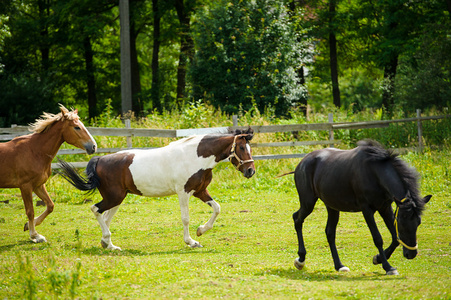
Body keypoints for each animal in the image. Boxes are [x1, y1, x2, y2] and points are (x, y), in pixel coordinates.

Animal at [0, 104, 96, 243]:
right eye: (77, 127)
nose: (94, 146)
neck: (35, 151)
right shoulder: (25, 186)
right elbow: (30, 211)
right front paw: (35, 235)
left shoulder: (38, 185)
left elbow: (50, 205)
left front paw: (27, 226)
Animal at [57, 127, 254, 250]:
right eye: (241, 147)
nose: (251, 171)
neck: (195, 157)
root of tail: (99, 160)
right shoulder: (183, 193)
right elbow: (185, 218)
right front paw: (191, 242)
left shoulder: (199, 191)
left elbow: (217, 208)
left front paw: (201, 231)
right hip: (114, 197)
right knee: (95, 209)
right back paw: (107, 241)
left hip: (117, 198)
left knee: (105, 217)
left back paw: (109, 245)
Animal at [288, 139, 432, 276]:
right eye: (401, 223)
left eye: (418, 223)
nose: (411, 254)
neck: (375, 172)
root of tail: (302, 162)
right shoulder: (367, 210)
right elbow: (378, 238)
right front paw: (388, 267)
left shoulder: (385, 207)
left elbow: (395, 237)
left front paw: (378, 259)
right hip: (308, 203)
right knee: (297, 219)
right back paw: (300, 260)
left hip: (332, 206)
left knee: (330, 233)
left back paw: (339, 266)